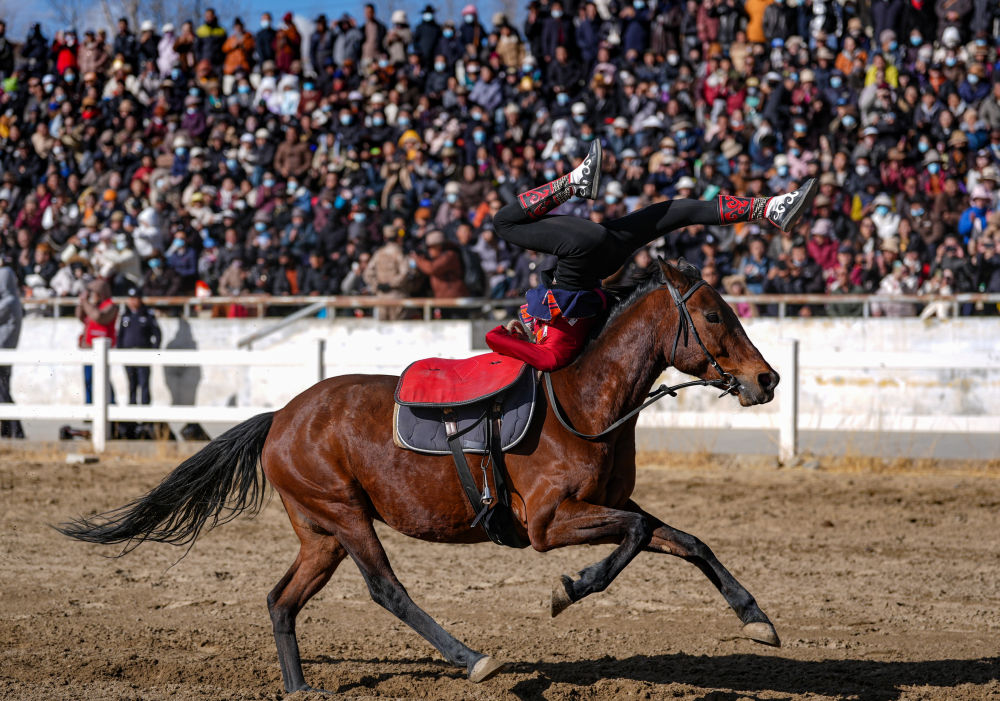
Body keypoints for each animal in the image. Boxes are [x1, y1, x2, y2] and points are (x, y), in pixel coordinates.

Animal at [60, 259, 782, 694]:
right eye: (714, 315)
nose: (767, 378)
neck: (581, 402)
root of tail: (281, 416)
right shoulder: (550, 523)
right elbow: (631, 537)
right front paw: (569, 589)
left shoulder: (608, 504)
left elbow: (686, 540)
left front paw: (755, 617)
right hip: (346, 515)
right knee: (387, 589)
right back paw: (472, 658)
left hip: (321, 533)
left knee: (281, 599)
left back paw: (298, 686)